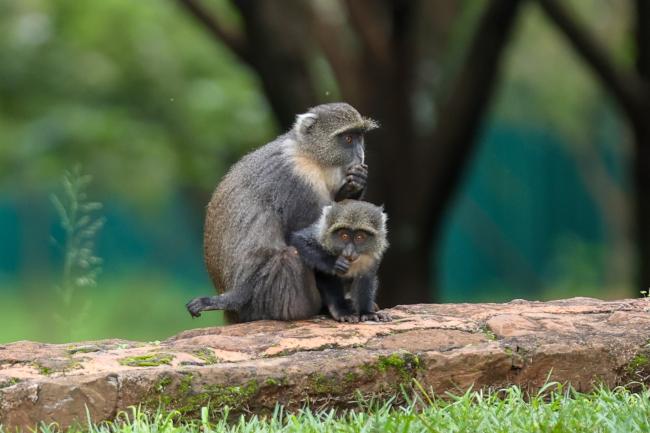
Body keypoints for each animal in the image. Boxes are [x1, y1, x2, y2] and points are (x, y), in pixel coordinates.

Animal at [185, 103, 378, 322]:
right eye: (348, 139)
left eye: (360, 137)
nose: (360, 155)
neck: (309, 155)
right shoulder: (298, 181)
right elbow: (310, 238)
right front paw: (340, 308)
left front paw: (356, 183)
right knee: (290, 256)